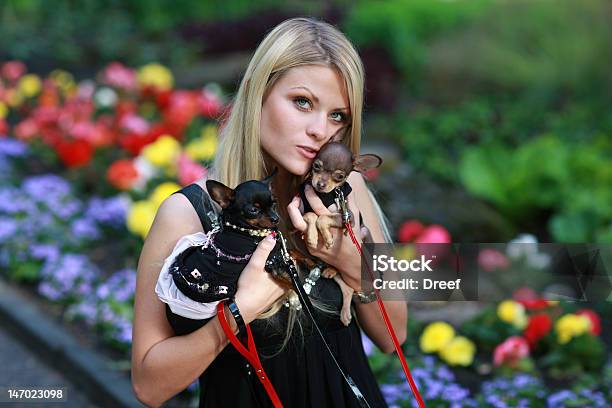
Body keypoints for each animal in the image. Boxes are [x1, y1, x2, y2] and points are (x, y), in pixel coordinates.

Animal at [294, 143, 380, 326]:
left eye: (339, 176)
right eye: (316, 166)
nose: (320, 184)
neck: (323, 196)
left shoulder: (348, 218)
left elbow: (323, 217)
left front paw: (327, 238)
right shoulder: (301, 211)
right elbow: (311, 215)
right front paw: (312, 236)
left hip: (363, 232)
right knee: (347, 289)